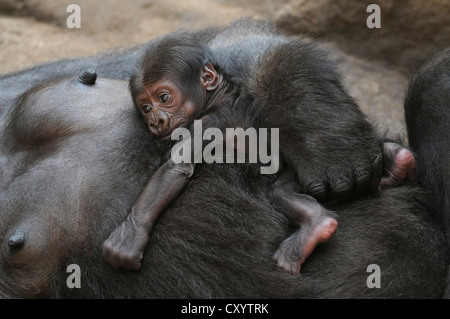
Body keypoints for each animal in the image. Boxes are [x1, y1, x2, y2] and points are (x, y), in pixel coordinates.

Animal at [0, 18, 446, 298]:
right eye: (147, 105)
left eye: (165, 97)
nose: (157, 119)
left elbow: (236, 41)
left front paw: (319, 125)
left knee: (432, 86)